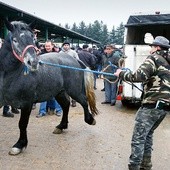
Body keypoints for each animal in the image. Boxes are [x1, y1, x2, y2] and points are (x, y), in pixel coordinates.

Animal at [0, 20, 98, 155]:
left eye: (34, 38)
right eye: (14, 40)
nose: (33, 62)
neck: (9, 75)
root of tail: (74, 59)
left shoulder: (26, 103)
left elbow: (22, 124)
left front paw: (19, 145)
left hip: (74, 91)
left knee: (83, 101)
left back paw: (90, 120)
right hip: (59, 92)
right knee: (66, 105)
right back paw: (61, 126)